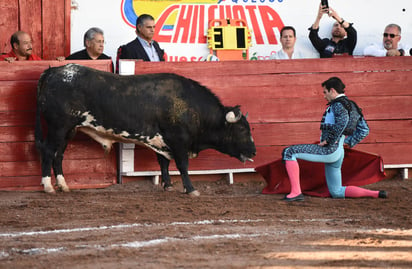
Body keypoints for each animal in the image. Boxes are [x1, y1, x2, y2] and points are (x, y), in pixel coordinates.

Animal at [36, 63, 254, 196]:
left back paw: (64, 185)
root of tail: (54, 71)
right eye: (243, 130)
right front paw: (191, 189)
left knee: (58, 155)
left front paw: (167, 185)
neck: (190, 105)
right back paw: (48, 186)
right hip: (58, 127)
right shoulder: (178, 140)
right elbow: (182, 165)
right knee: (47, 151)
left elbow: (164, 163)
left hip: (69, 130)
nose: (254, 151)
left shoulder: (163, 142)